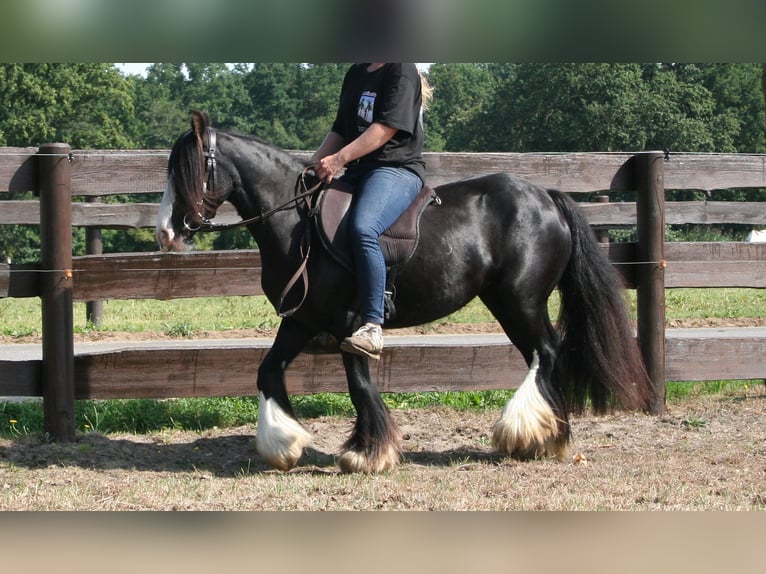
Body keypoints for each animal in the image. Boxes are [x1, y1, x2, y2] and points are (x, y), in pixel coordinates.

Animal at [159, 110, 652, 474]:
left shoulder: (350, 323)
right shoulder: (301, 319)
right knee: (544, 354)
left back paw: (527, 433)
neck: (299, 223)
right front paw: (284, 443)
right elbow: (267, 371)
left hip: (521, 300)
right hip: (505, 301)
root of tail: (548, 197)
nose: (166, 233)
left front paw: (367, 453)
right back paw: (551, 436)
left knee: (546, 351)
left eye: (189, 170)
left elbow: (359, 383)